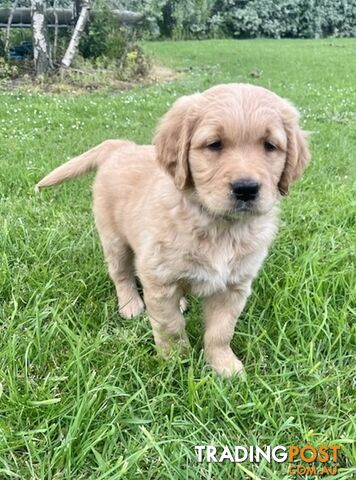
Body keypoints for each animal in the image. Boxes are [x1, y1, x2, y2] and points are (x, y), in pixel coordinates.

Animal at [36, 85, 308, 378]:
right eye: (214, 144)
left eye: (270, 146)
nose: (246, 188)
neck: (218, 226)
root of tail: (122, 146)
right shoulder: (159, 277)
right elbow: (170, 326)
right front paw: (176, 364)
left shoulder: (234, 285)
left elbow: (221, 331)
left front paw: (224, 366)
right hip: (114, 239)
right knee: (121, 274)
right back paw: (130, 304)